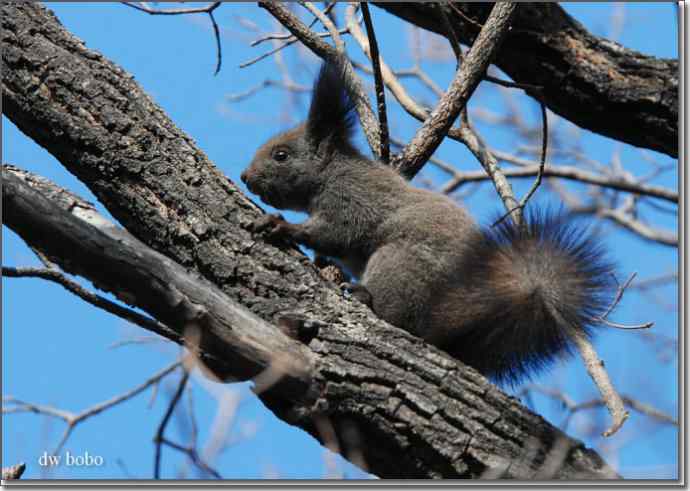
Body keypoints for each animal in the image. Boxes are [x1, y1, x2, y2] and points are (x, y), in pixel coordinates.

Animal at [241, 60, 612, 384]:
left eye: (281, 155)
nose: (245, 177)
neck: (331, 172)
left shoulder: (352, 200)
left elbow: (335, 233)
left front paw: (281, 226)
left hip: (402, 266)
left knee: (397, 314)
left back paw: (364, 296)